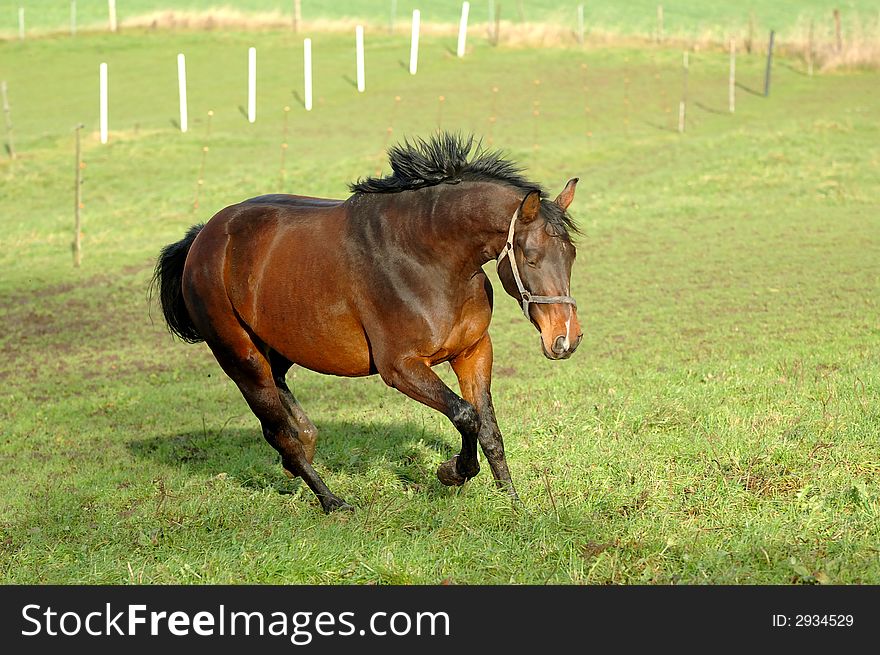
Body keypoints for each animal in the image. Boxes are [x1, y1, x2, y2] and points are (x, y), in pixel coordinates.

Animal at [155, 133, 580, 512]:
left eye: (571, 254)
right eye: (531, 256)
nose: (565, 339)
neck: (429, 258)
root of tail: (202, 238)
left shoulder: (473, 351)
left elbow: (489, 428)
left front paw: (514, 504)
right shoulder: (400, 367)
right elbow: (465, 415)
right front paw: (451, 472)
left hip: (279, 344)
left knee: (284, 403)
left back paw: (305, 447)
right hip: (241, 357)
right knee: (277, 431)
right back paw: (331, 500)